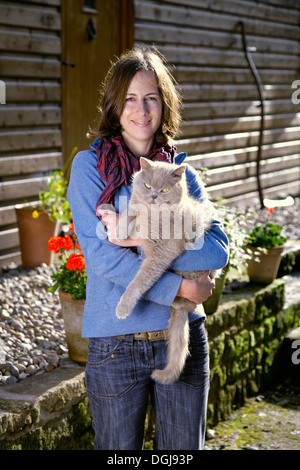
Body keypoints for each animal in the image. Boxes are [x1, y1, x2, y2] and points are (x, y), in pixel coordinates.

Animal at [115, 156, 218, 384]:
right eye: (147, 186)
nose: (154, 196)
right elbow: (129, 211)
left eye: (164, 190)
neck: (152, 216)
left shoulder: (160, 255)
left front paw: (123, 308)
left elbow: (137, 283)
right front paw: (120, 230)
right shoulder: (135, 203)